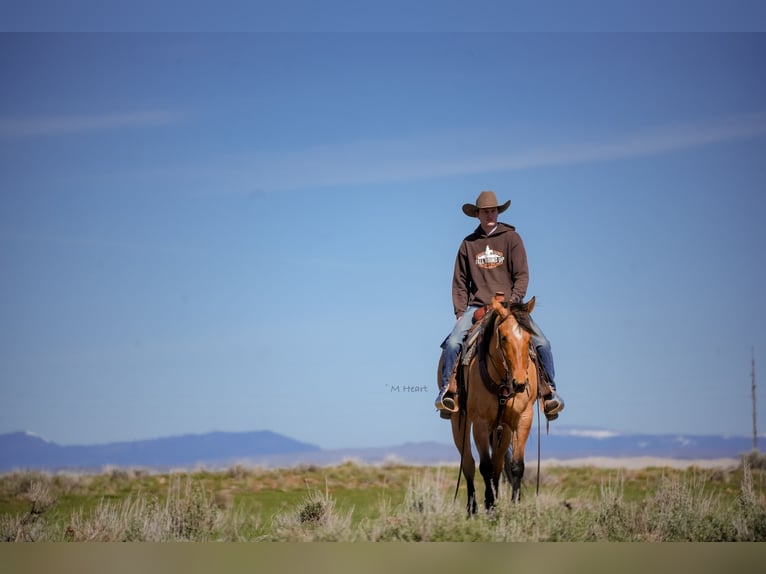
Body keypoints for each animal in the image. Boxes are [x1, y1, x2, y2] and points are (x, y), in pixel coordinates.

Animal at [450, 296, 539, 513]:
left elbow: (516, 466)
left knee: (498, 465)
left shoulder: (523, 419)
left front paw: (514, 505)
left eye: (529, 338)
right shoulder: (480, 424)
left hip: (502, 430)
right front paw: (489, 506)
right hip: (459, 423)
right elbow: (485, 466)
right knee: (469, 463)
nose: (520, 383)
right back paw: (472, 508)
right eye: (504, 337)